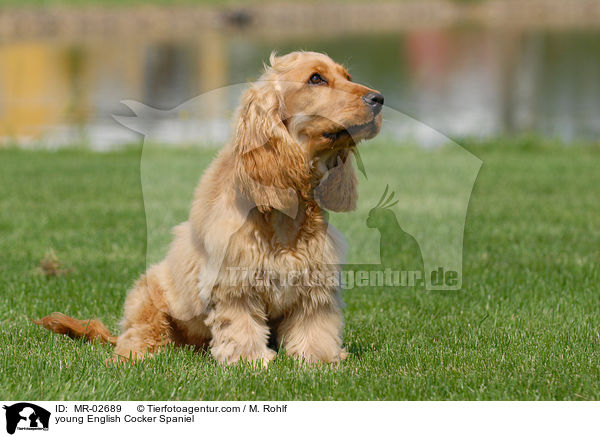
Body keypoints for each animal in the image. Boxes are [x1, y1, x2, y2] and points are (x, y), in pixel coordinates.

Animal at [35, 51, 382, 364]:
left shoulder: (316, 280)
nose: (378, 98)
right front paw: (249, 361)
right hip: (146, 295)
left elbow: (316, 325)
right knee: (137, 335)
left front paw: (321, 359)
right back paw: (135, 354)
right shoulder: (233, 280)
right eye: (316, 78)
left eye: (348, 76)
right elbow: (241, 325)